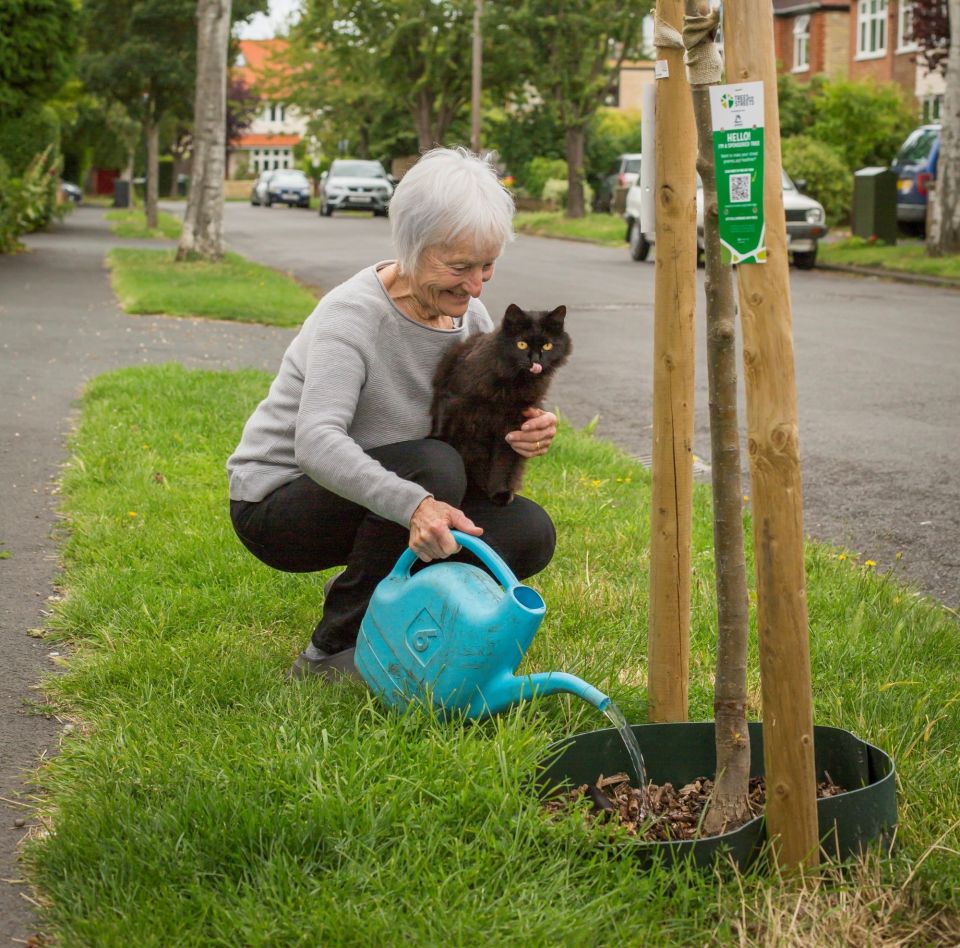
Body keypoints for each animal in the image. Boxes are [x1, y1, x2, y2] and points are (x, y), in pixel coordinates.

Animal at [434, 308, 568, 508]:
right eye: (521, 344)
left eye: (547, 346)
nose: (536, 360)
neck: (512, 384)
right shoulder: (456, 409)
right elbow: (451, 444)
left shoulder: (512, 426)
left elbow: (505, 463)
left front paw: (500, 492)